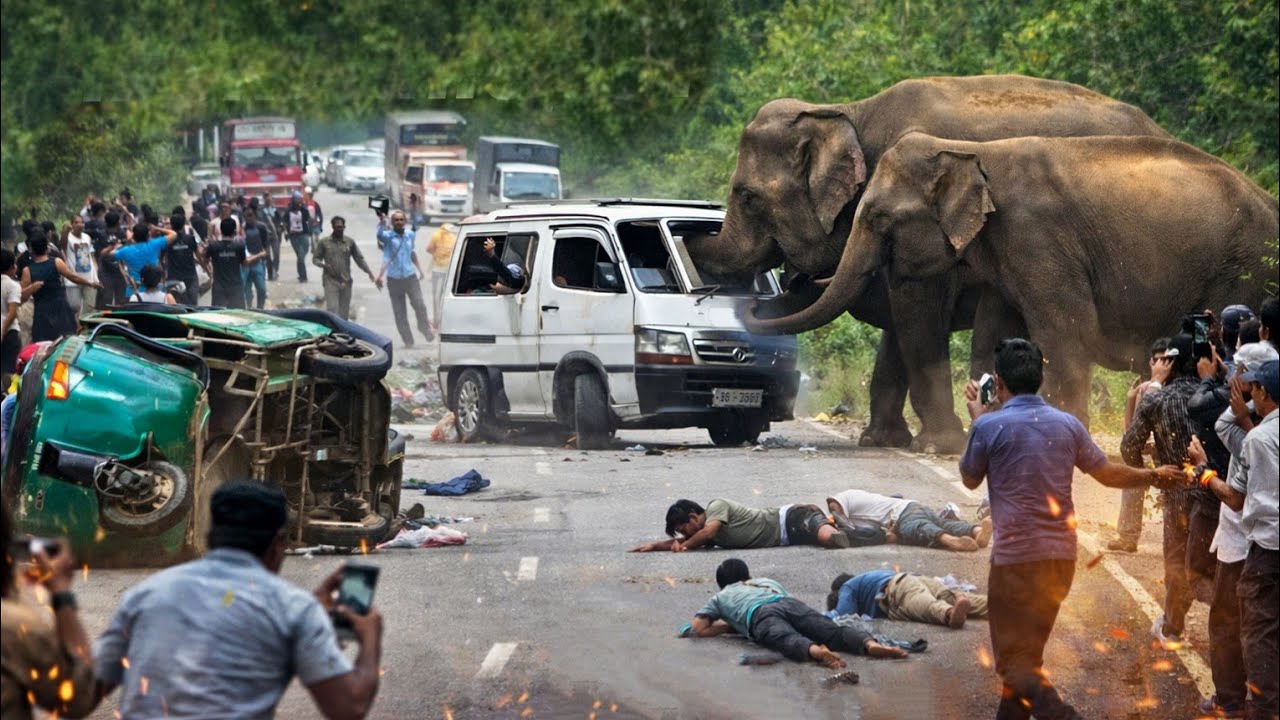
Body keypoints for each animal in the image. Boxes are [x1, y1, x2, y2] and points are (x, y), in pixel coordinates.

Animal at [688, 74, 1170, 452]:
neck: (848, 113)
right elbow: (897, 326)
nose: (689, 235)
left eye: (747, 197)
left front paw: (936, 444)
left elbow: (916, 312)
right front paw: (880, 440)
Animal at [742, 132, 1279, 423]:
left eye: (877, 218)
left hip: (1243, 269)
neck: (971, 152)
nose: (753, 299)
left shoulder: (1038, 237)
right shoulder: (1007, 251)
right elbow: (995, 332)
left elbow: (1066, 335)